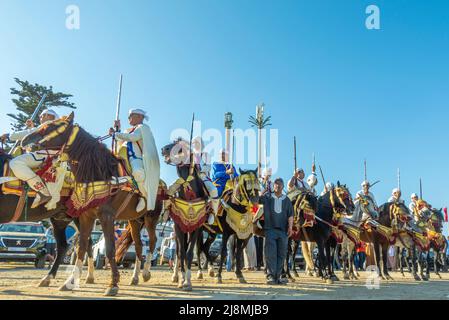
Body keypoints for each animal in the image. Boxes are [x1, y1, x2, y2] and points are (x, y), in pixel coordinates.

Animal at [21, 112, 161, 296]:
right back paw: (135, 277)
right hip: (134, 221)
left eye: (53, 126)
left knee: (152, 241)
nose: (25, 141)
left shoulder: (106, 216)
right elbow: (82, 246)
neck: (100, 172)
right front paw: (69, 282)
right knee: (138, 245)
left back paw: (145, 273)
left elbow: (109, 248)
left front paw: (113, 284)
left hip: (151, 219)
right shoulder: (86, 216)